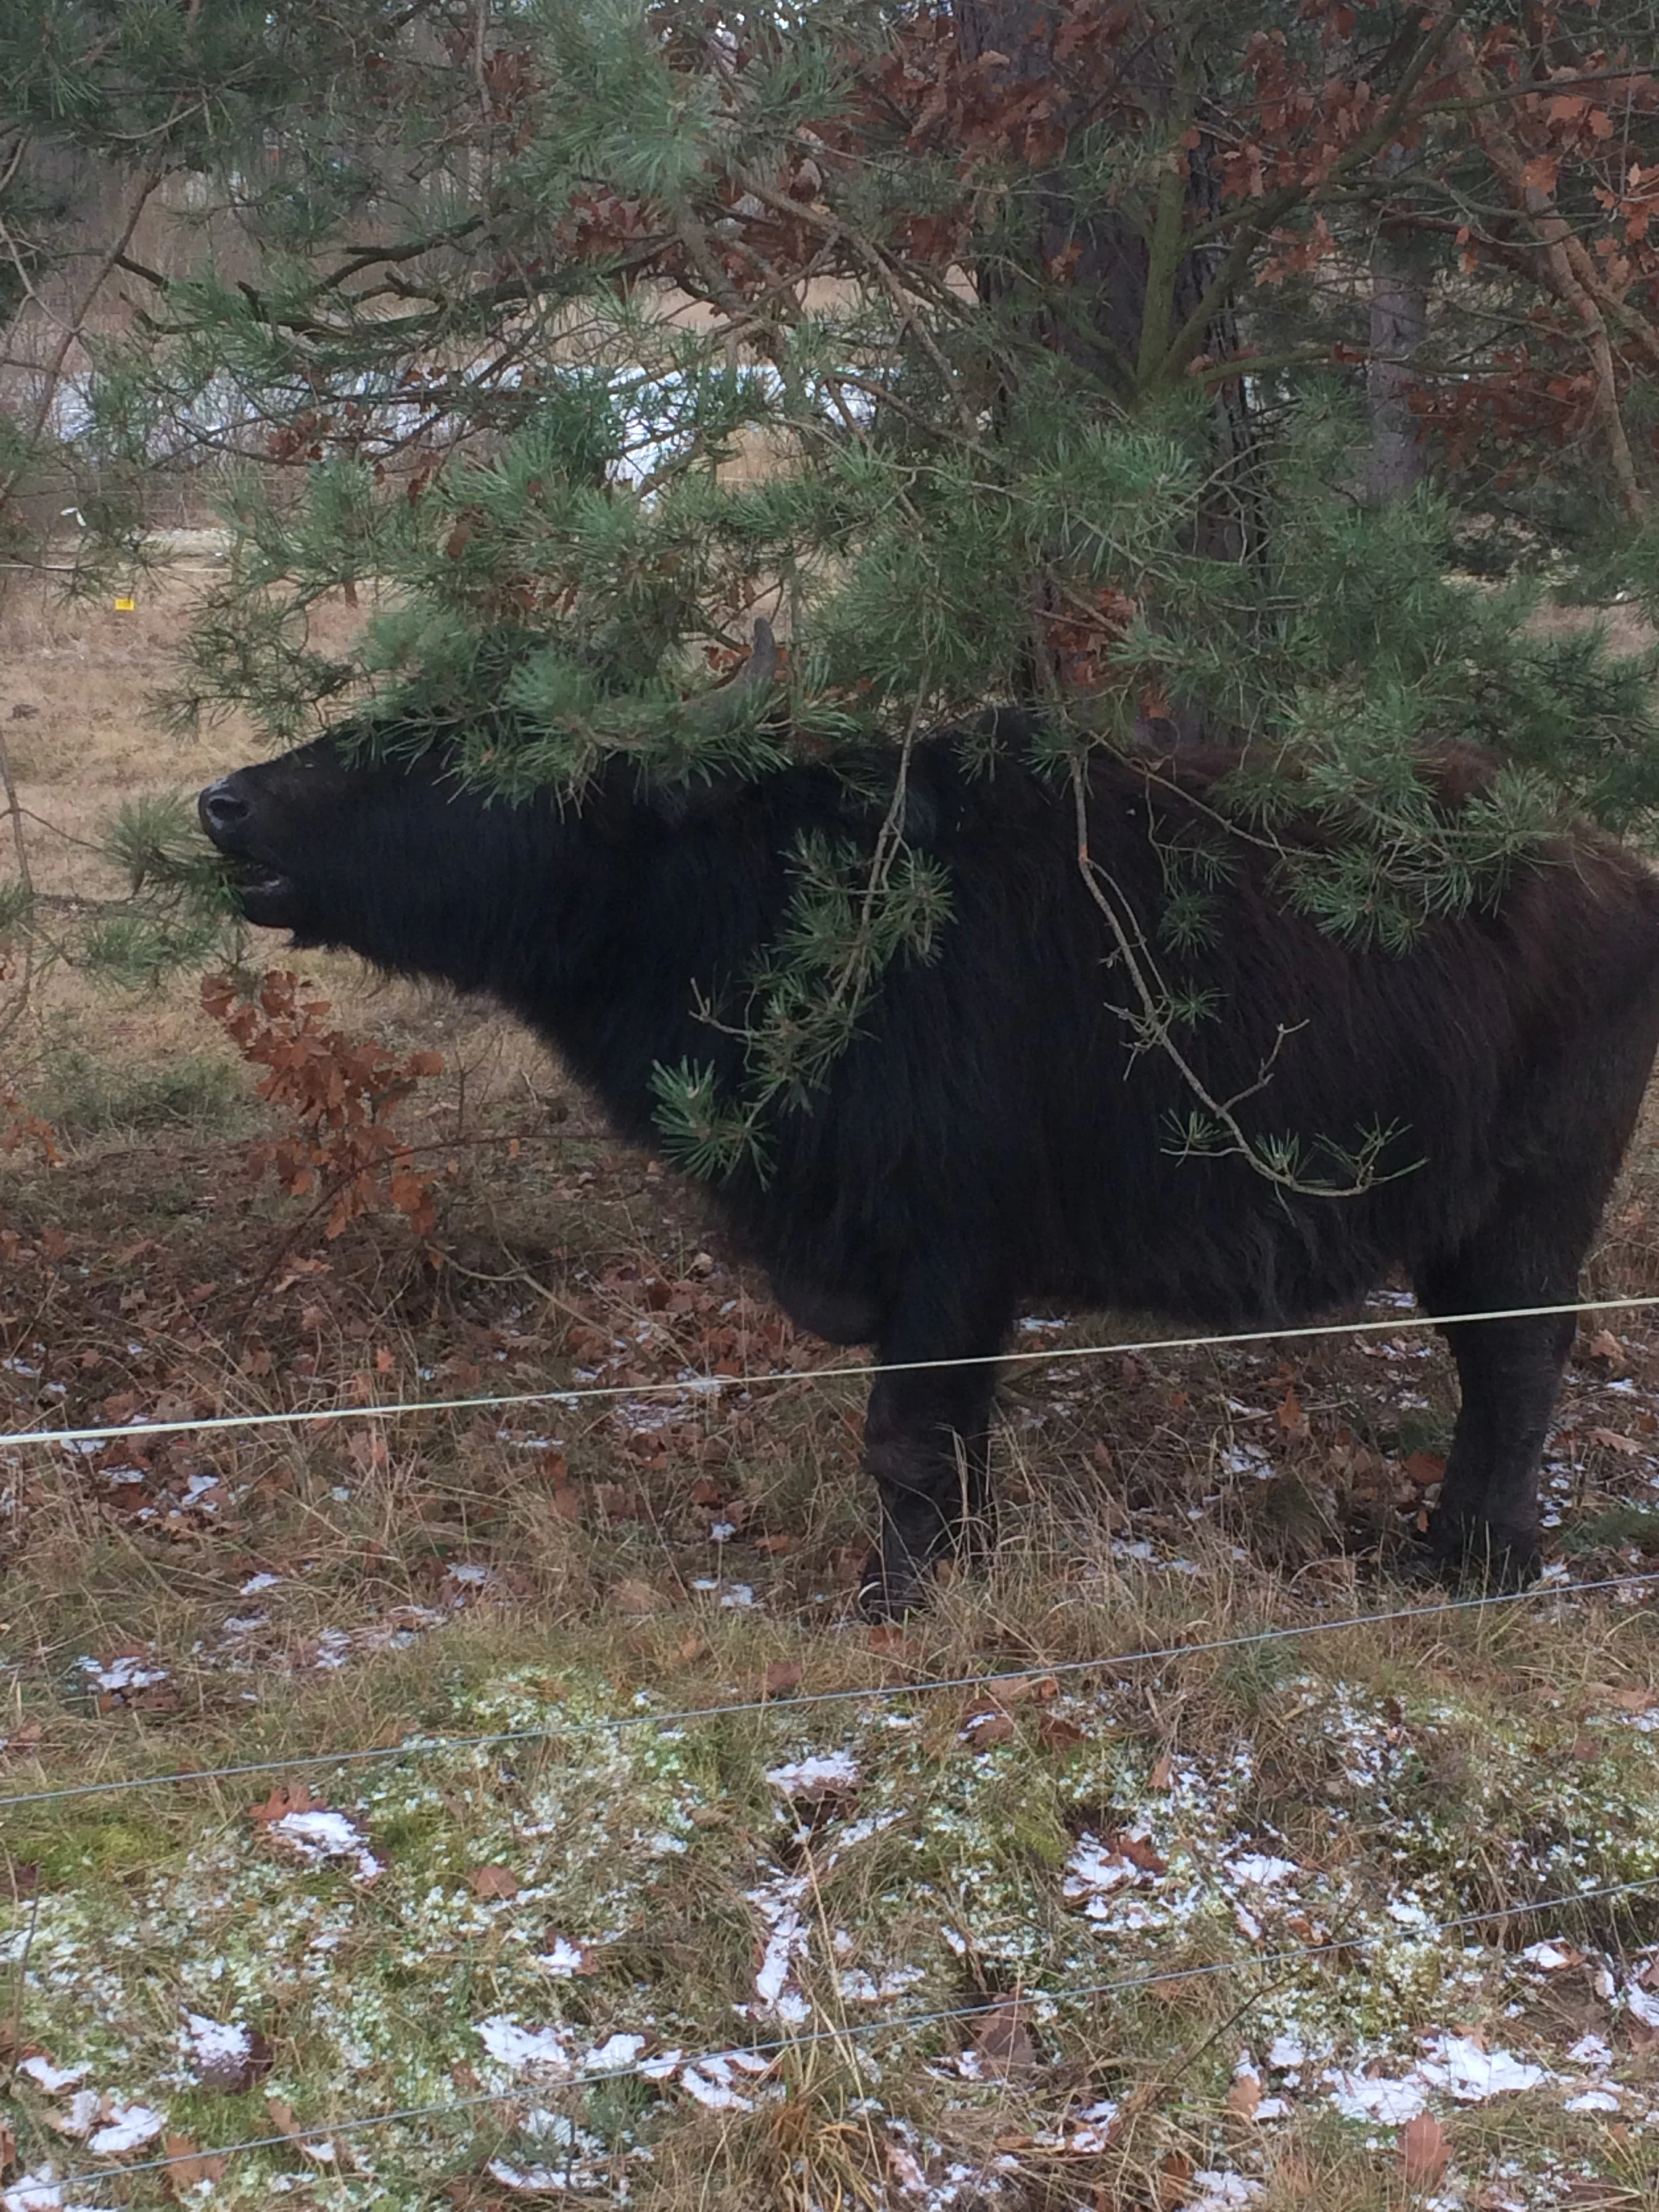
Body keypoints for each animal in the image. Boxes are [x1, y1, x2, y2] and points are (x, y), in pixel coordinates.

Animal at [200, 627, 1659, 1609]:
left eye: (458, 754)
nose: (225, 802)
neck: (769, 905)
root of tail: (1607, 871)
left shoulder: (951, 1259)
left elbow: (908, 1441)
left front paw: (896, 1601)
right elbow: (946, 1446)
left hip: (1527, 1211)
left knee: (1518, 1364)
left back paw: (1477, 1559)